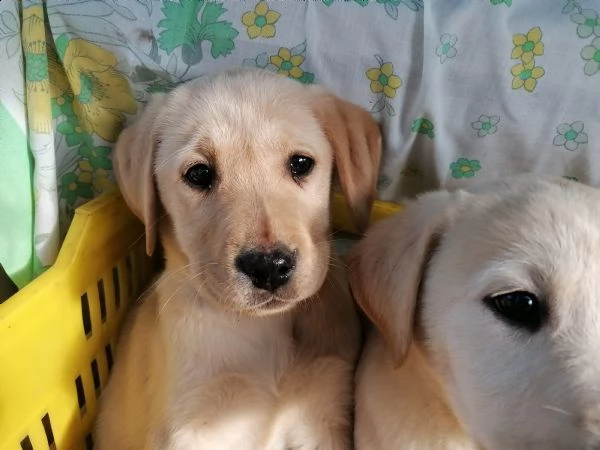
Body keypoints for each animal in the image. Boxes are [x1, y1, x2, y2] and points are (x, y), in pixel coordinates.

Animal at [96, 67, 382, 450]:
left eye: (301, 164)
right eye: (199, 174)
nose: (269, 267)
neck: (263, 328)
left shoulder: (323, 415)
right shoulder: (194, 428)